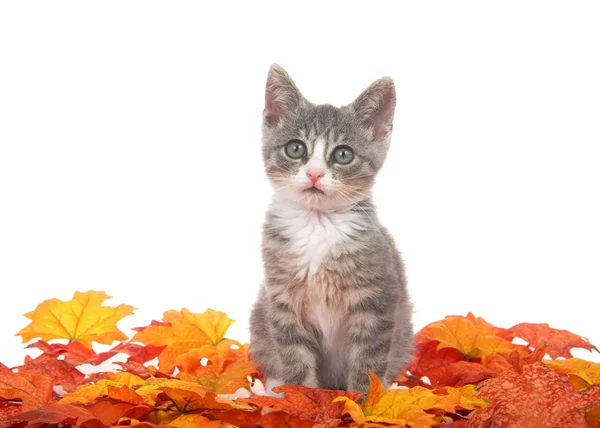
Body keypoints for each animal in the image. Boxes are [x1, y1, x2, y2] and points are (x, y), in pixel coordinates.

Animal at [248, 64, 412, 394]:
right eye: (295, 148)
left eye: (343, 154)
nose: (314, 173)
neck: (317, 225)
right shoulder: (282, 300)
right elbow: (294, 356)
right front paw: (300, 398)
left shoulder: (378, 299)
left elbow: (368, 362)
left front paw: (365, 401)